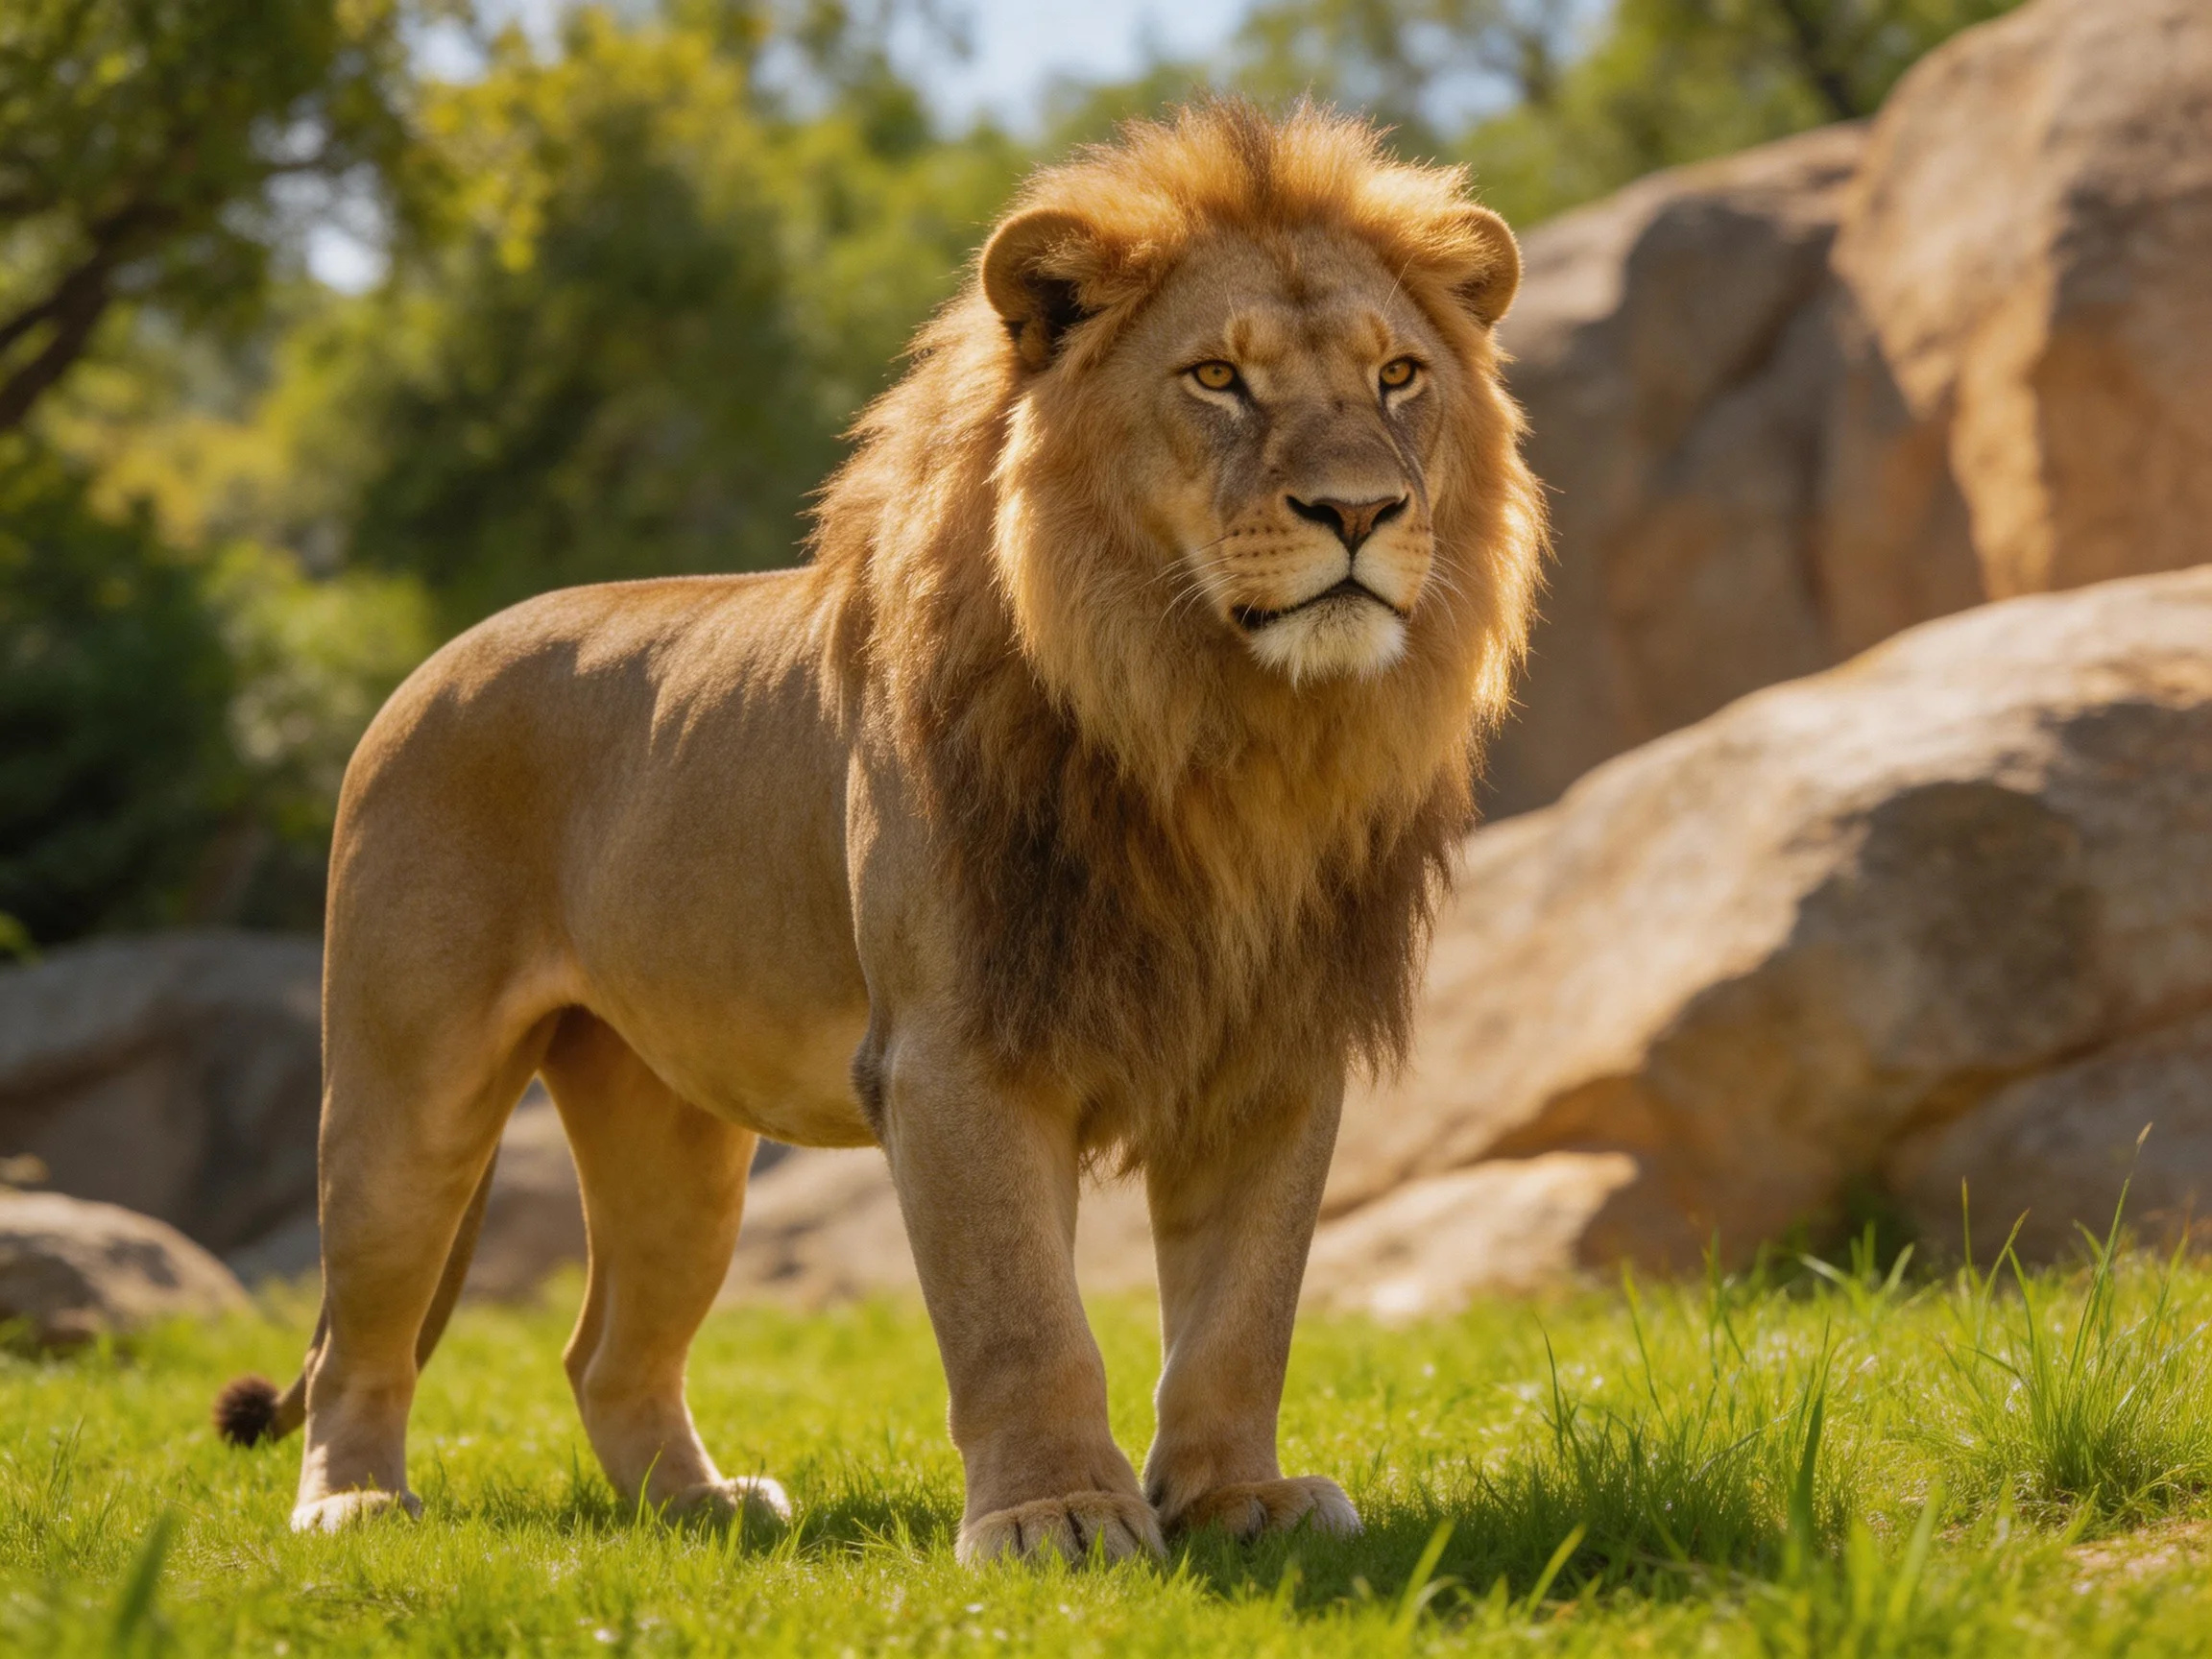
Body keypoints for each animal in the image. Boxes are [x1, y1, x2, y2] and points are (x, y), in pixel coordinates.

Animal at [213, 99, 1544, 1563]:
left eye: (1400, 376)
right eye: (1216, 378)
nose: (1361, 511)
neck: (1218, 730)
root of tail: (431, 664)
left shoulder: (1272, 1053)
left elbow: (1243, 1313)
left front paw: (1236, 1499)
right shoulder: (956, 1051)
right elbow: (1021, 1313)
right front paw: (1058, 1517)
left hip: (675, 1137)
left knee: (604, 1347)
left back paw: (702, 1509)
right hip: (407, 1094)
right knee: (365, 1336)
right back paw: (355, 1503)